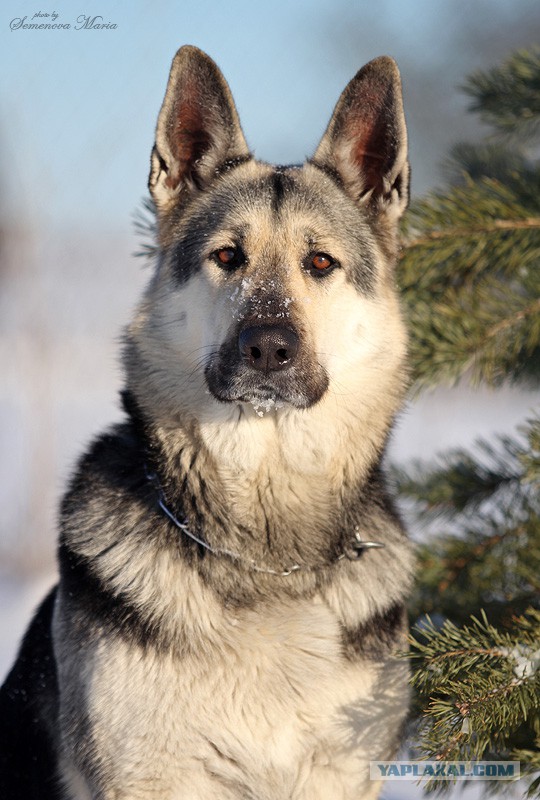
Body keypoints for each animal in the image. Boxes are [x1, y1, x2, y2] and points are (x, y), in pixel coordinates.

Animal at [0, 45, 414, 800]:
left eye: (320, 262)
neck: (267, 558)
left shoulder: (339, 774)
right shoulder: (152, 777)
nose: (268, 348)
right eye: (228, 256)